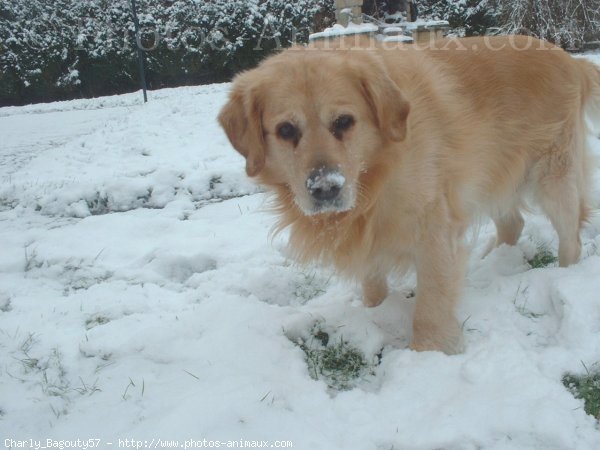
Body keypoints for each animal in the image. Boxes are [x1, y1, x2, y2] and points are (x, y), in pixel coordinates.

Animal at [219, 36, 600, 356]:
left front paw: (427, 356)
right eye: (286, 130)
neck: (377, 171)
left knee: (570, 239)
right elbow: (373, 286)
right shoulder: (369, 238)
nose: (325, 188)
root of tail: (571, 59)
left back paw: (564, 278)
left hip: (554, 178)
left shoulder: (433, 230)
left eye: (343, 121)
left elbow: (430, 305)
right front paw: (376, 313)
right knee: (513, 223)